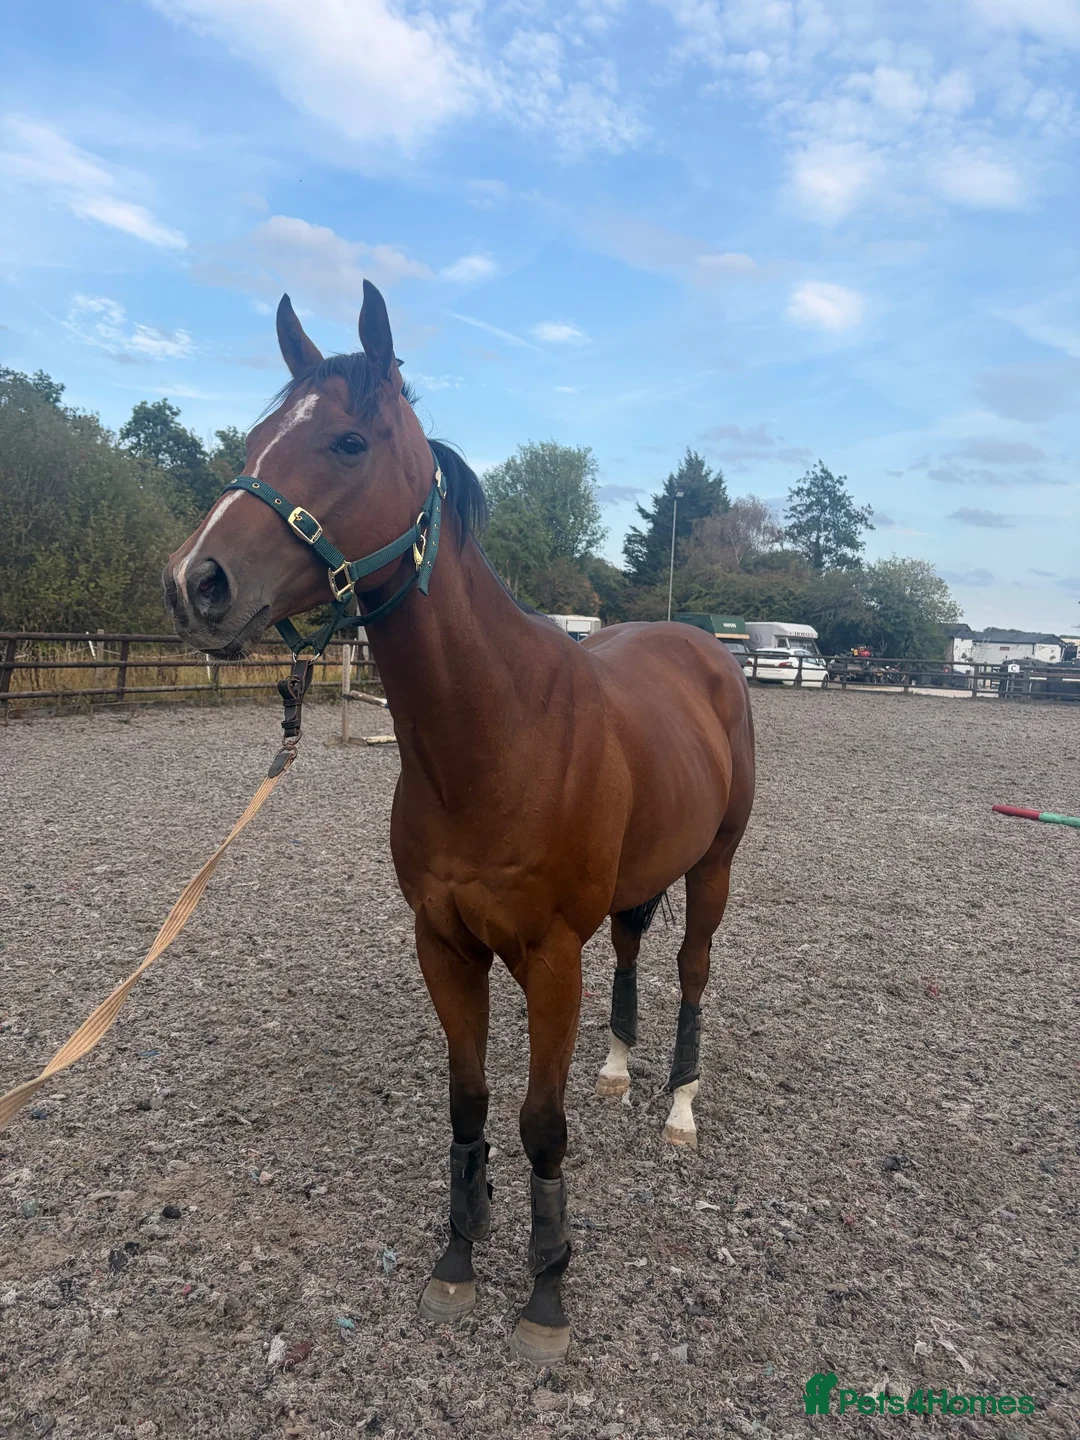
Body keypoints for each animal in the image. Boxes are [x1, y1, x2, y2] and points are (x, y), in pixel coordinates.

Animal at [163, 282, 755, 1364]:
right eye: (259, 436)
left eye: (350, 440)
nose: (197, 581)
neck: (500, 735)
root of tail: (707, 650)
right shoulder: (444, 944)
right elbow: (470, 1099)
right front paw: (457, 1253)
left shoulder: (550, 958)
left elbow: (540, 1123)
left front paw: (547, 1289)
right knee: (634, 952)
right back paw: (620, 1069)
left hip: (715, 867)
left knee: (693, 970)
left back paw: (680, 1108)